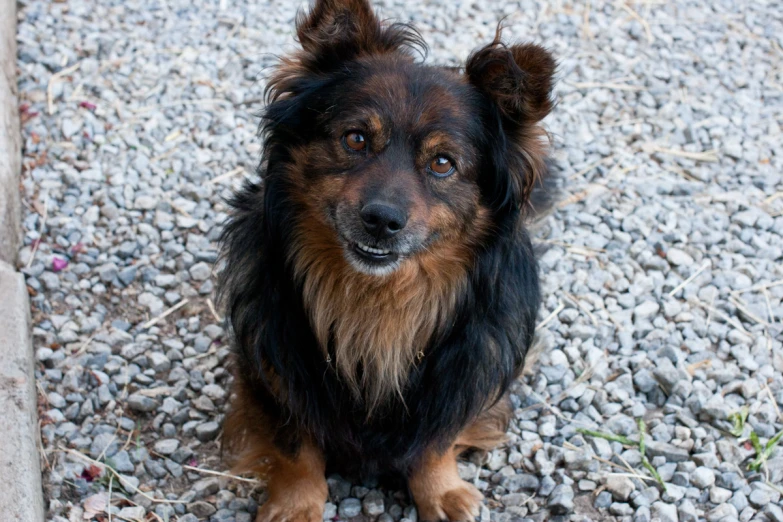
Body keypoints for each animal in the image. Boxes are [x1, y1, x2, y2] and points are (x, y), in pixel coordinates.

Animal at [216, 2, 556, 516]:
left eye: (442, 163)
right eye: (355, 138)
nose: (381, 219)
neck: (377, 297)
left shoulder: (458, 374)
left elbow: (436, 439)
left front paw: (441, 491)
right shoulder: (271, 363)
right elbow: (295, 444)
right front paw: (297, 502)